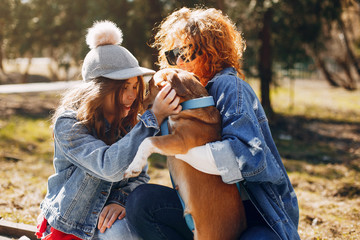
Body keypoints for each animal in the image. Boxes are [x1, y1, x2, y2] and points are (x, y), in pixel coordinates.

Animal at [125, 68, 246, 240]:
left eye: (148, 89)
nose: (139, 102)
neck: (191, 104)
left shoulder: (179, 141)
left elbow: (148, 141)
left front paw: (134, 166)